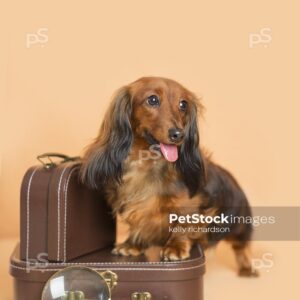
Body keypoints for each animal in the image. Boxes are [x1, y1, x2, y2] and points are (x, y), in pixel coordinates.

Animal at [80, 77, 258, 276]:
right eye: (152, 100)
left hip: (239, 224)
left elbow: (183, 224)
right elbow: (138, 223)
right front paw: (133, 244)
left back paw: (247, 268)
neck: (148, 165)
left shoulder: (190, 205)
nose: (178, 134)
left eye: (183, 104)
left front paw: (175, 247)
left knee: (241, 246)